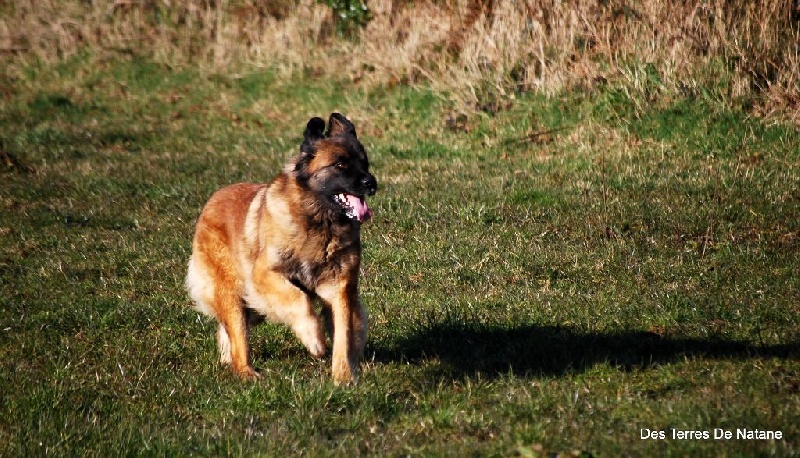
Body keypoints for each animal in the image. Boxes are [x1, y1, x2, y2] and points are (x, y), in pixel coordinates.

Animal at [186, 113, 376, 382]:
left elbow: (343, 335)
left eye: (365, 163)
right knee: (237, 336)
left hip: (252, 307)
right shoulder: (265, 275)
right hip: (234, 295)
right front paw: (314, 339)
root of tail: (211, 201)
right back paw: (246, 372)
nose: (372, 183)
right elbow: (299, 299)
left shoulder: (339, 288)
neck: (316, 221)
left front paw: (343, 377)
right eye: (340, 164)